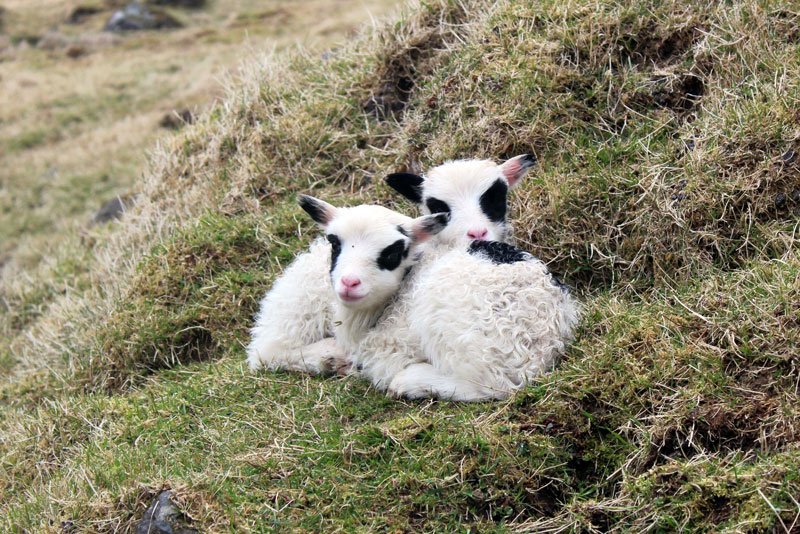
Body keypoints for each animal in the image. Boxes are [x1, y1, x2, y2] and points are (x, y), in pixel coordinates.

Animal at [247, 155, 536, 374]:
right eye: (437, 205)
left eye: (495, 197)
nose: (477, 233)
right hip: (298, 312)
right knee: (266, 351)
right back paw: (328, 356)